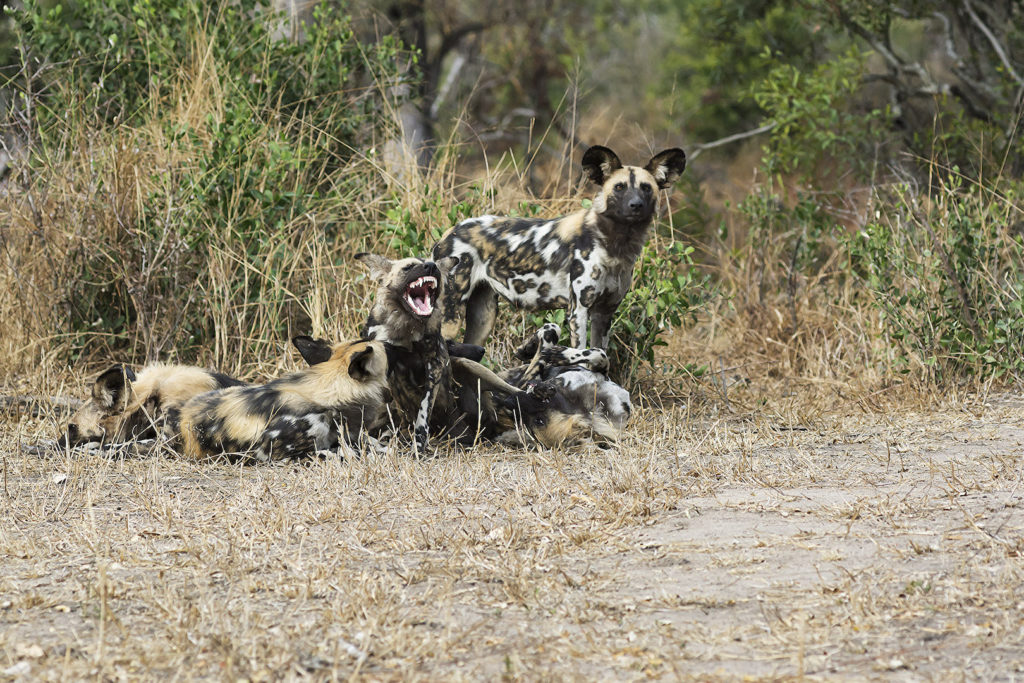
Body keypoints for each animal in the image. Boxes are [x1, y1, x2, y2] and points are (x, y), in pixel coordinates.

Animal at [356, 250, 528, 454]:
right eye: (408, 267)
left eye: (434, 265)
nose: (431, 266)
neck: (406, 328)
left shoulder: (434, 366)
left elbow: (423, 414)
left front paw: (418, 445)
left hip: (472, 368)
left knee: (516, 393)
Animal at [432, 143, 688, 348]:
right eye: (619, 187)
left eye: (646, 187)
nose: (636, 205)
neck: (616, 246)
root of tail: (449, 232)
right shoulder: (579, 312)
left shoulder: (604, 314)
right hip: (450, 319)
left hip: (483, 321)